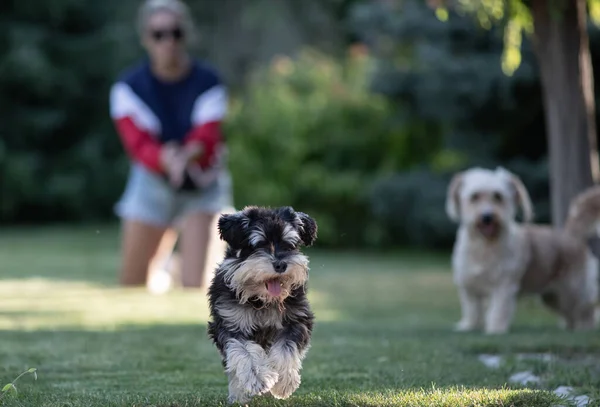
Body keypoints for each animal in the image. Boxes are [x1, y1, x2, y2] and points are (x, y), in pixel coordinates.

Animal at [207, 207, 318, 404]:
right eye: (259, 245)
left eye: (289, 245)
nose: (281, 264)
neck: (261, 300)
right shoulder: (229, 324)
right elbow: (244, 351)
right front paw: (258, 378)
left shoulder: (296, 321)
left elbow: (286, 348)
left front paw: (283, 382)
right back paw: (239, 394)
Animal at [446, 167, 600, 336]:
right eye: (475, 196)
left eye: (498, 196)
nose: (487, 216)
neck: (485, 246)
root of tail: (571, 235)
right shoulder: (468, 288)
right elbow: (471, 310)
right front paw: (468, 327)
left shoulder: (504, 286)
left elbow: (498, 311)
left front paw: (495, 330)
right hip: (553, 297)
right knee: (570, 314)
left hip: (573, 291)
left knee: (586, 310)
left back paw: (584, 328)